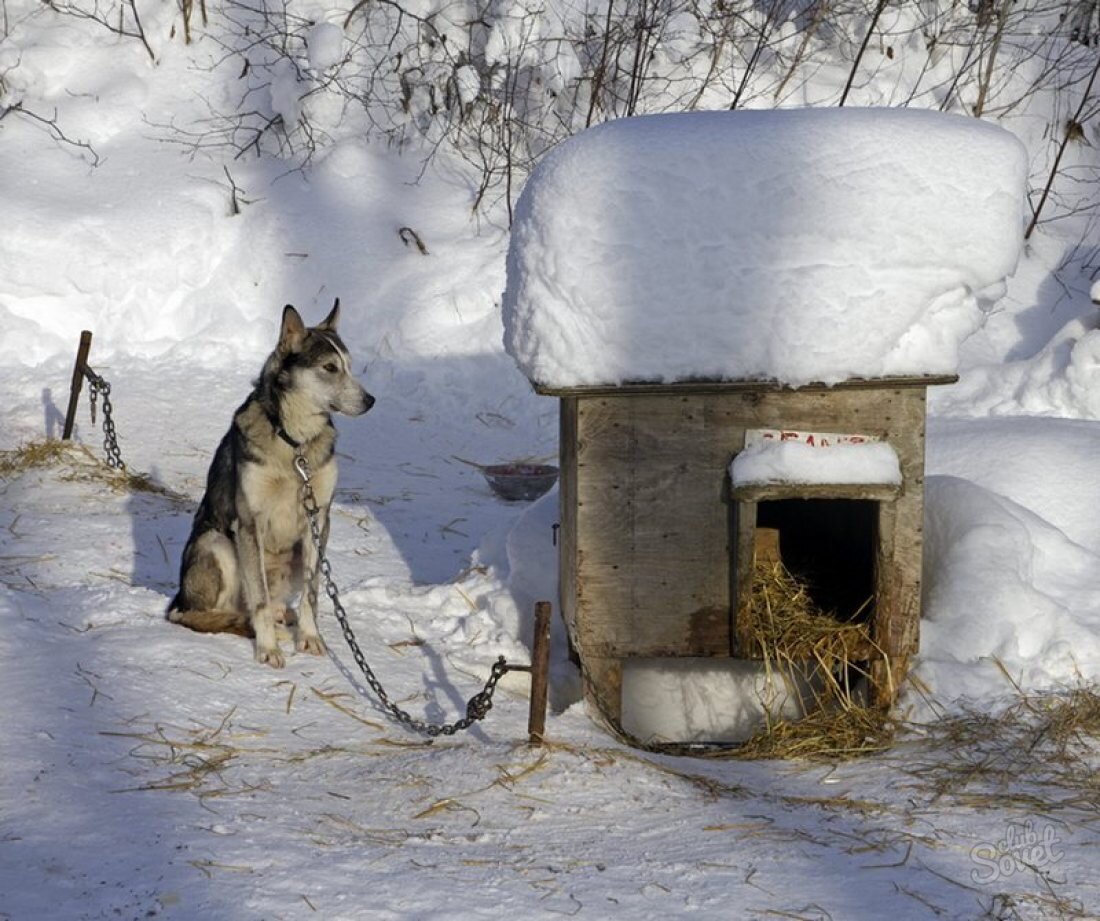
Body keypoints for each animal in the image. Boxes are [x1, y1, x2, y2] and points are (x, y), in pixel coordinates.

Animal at [167, 303, 374, 669]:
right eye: (330, 367)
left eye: (349, 366)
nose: (371, 400)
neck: (295, 443)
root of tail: (179, 599)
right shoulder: (251, 521)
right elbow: (260, 602)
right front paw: (268, 648)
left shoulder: (319, 519)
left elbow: (312, 595)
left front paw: (309, 637)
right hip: (218, 544)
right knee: (207, 614)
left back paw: (283, 616)